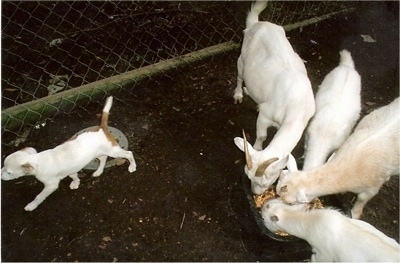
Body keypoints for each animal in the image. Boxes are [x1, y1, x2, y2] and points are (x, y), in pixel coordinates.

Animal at [0, 96, 137, 211]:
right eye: (3, 167)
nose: (0, 175)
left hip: (113, 151)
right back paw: (98, 171)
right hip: (98, 152)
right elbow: (74, 176)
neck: (39, 161)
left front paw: (31, 205)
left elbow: (39, 196)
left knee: (128, 154)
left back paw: (132, 166)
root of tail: (101, 128)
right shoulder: (71, 170)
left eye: (9, 172)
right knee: (103, 158)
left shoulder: (51, 185)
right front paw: (76, 183)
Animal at [233, 1, 314, 195]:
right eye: (248, 177)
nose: (255, 193)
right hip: (242, 59)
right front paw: (257, 147)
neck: (297, 105)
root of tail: (257, 23)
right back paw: (238, 94)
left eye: (266, 182)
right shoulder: (265, 114)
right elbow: (262, 135)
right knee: (239, 75)